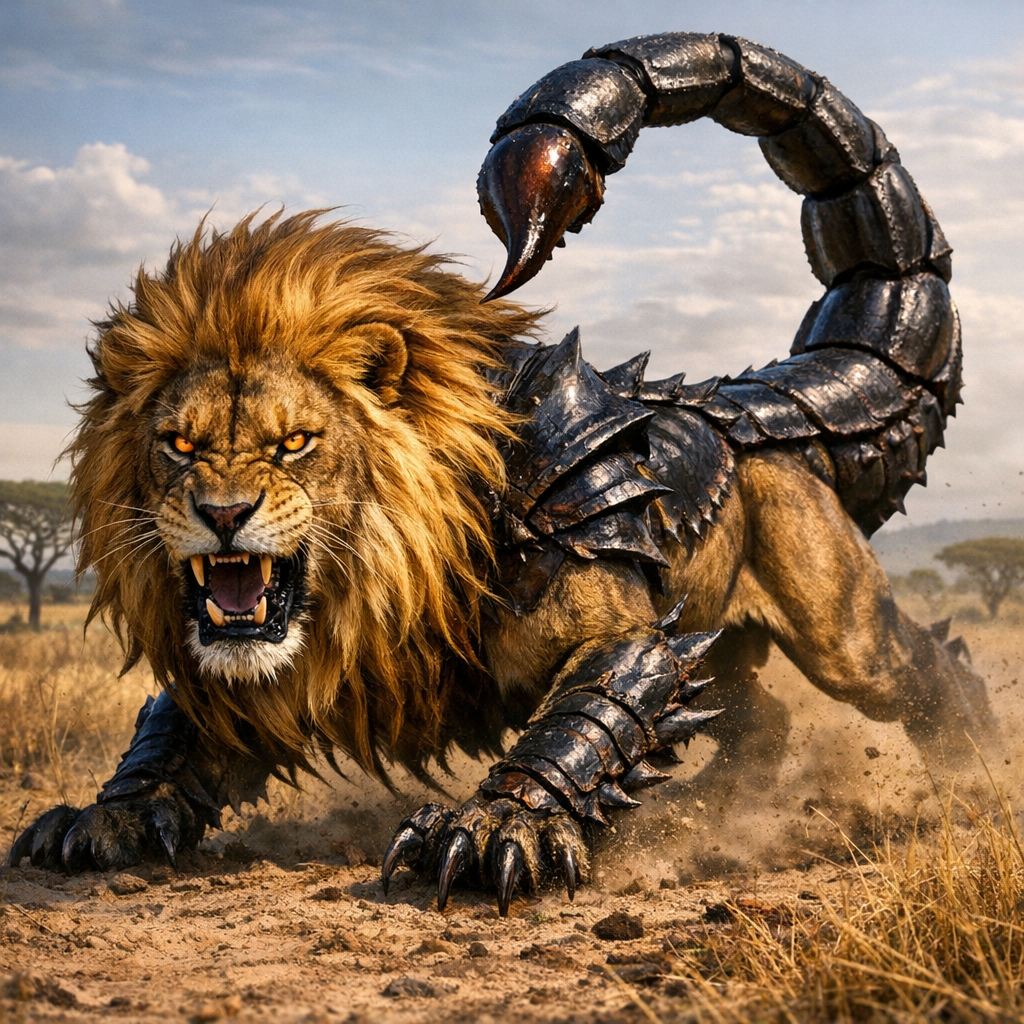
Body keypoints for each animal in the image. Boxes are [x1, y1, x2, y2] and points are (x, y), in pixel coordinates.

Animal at [10, 32, 996, 914]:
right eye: (179, 444)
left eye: (295, 443)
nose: (222, 513)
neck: (387, 567)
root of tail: (755, 402)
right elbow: (172, 729)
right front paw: (104, 818)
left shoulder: (610, 611)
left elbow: (587, 720)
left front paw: (490, 831)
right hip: (726, 639)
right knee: (764, 720)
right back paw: (710, 810)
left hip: (836, 627)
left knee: (923, 669)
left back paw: (977, 774)